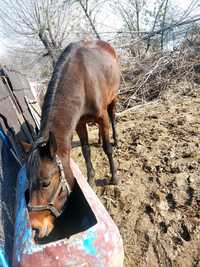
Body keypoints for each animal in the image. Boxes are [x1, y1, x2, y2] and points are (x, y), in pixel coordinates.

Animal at [23, 40, 120, 241]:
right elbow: (85, 150)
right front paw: (91, 180)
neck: (81, 79)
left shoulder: (102, 116)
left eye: (45, 183)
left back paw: (116, 139)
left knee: (113, 117)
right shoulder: (79, 123)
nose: (35, 227)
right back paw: (100, 139)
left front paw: (114, 177)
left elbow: (107, 149)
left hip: (112, 99)